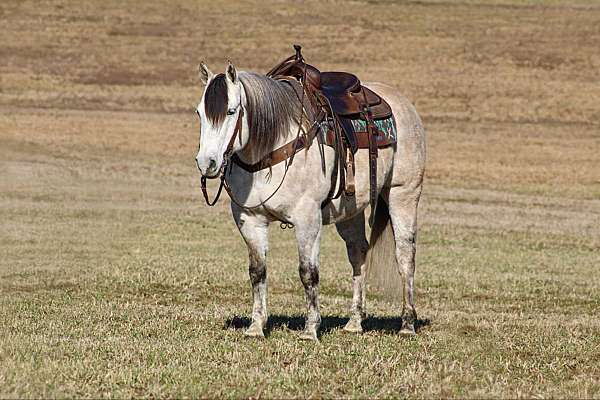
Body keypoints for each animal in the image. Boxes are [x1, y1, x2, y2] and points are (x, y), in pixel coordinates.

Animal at [195, 56, 424, 340]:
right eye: (199, 113)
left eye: (231, 111)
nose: (207, 163)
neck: (271, 147)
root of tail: (403, 105)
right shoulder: (250, 220)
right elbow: (257, 271)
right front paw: (256, 326)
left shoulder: (307, 220)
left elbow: (308, 273)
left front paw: (310, 329)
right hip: (350, 210)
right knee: (358, 253)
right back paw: (354, 322)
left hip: (403, 194)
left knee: (405, 256)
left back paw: (407, 324)